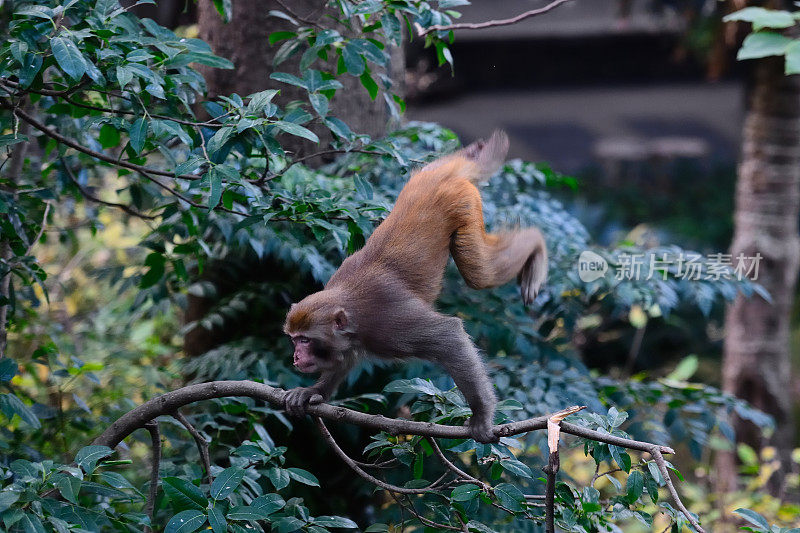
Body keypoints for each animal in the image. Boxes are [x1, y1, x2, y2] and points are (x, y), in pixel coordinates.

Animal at [282, 131, 552, 442]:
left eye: (305, 340)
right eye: (294, 339)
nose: (296, 355)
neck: (354, 315)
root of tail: (438, 175)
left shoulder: (390, 325)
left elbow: (449, 335)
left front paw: (482, 415)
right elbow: (345, 359)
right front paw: (313, 393)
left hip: (464, 202)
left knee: (479, 273)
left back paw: (536, 247)